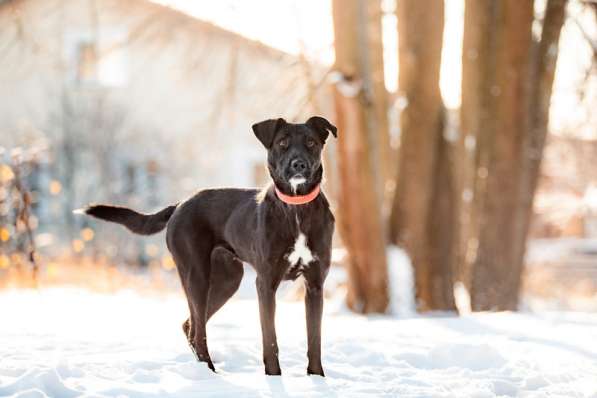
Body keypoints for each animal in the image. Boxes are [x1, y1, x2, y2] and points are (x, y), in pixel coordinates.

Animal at [80, 116, 336, 376]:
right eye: (283, 142)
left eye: (311, 142)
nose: (299, 164)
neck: (296, 209)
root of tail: (180, 203)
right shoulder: (266, 283)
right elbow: (270, 338)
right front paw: (274, 378)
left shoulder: (315, 285)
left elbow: (315, 338)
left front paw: (317, 378)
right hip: (196, 276)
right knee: (197, 330)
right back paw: (209, 372)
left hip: (227, 280)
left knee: (190, 325)